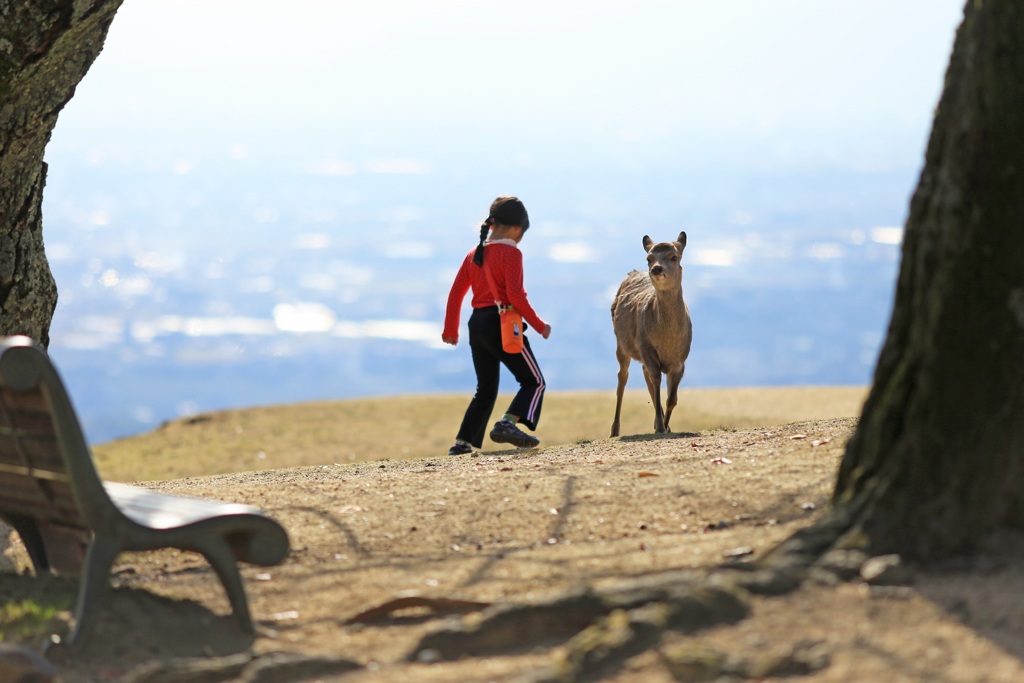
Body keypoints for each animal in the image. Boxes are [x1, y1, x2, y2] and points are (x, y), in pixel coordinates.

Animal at [606, 231, 696, 438]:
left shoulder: (680, 360)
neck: (667, 340)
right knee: (623, 377)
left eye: (674, 256)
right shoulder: (646, 346)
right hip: (621, 344)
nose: (656, 269)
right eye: (649, 258)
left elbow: (672, 399)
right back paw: (615, 430)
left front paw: (665, 426)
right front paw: (661, 427)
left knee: (644, 374)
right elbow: (656, 383)